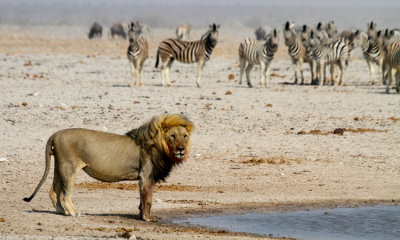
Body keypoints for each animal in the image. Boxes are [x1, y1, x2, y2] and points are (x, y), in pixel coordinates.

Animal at [23, 114, 194, 221]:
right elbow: (148, 199)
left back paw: (61, 212)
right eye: (173, 136)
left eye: (184, 136)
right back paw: (73, 213)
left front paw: (140, 216)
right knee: (65, 194)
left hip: (59, 166)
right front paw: (148, 219)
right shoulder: (146, 176)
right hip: (68, 167)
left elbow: (141, 199)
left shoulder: (143, 178)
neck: (161, 147)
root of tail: (56, 134)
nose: (181, 149)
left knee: (53, 191)